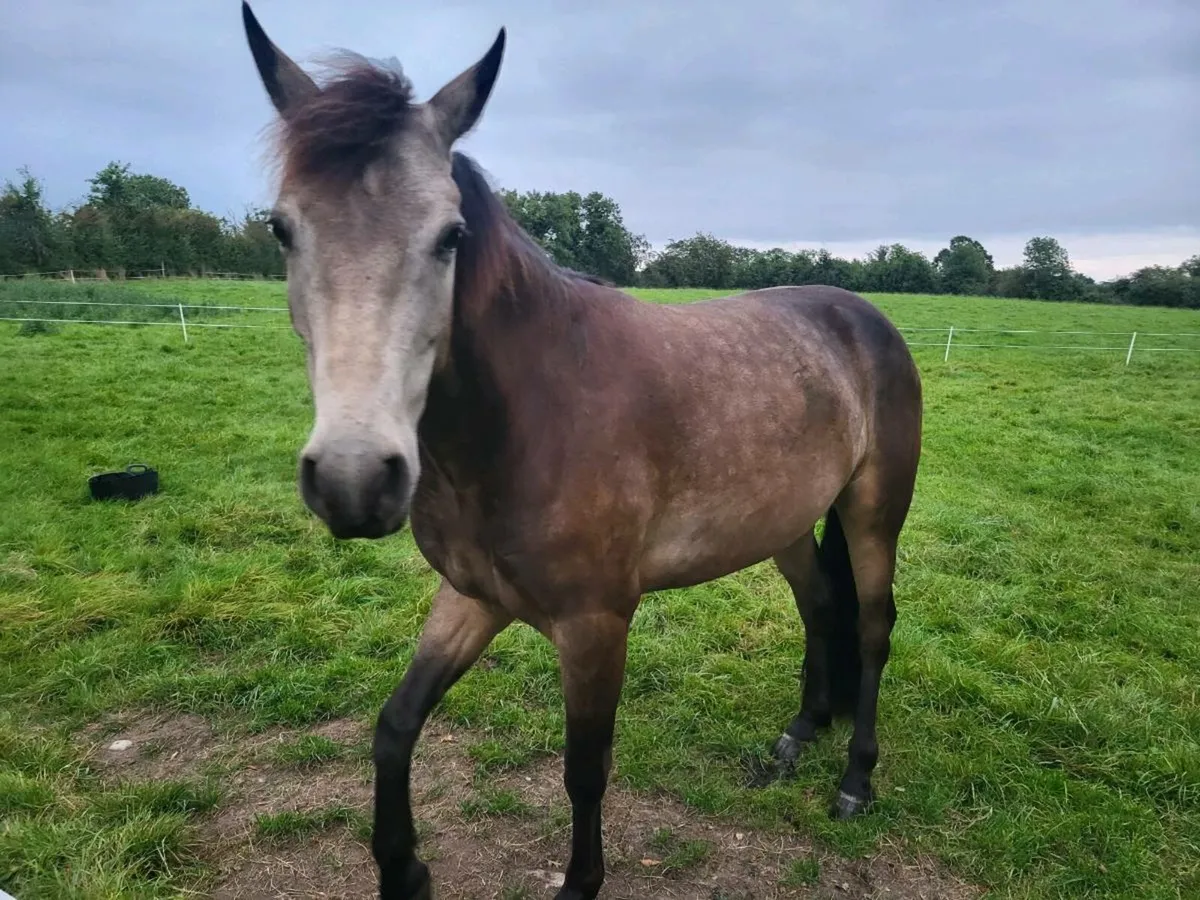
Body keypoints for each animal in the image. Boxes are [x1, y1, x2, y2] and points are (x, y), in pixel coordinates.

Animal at [241, 4, 923, 898]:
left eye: (449, 235)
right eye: (282, 228)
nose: (355, 480)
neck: (526, 421)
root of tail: (863, 316)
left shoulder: (596, 627)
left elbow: (584, 770)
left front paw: (578, 881)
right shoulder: (472, 599)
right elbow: (394, 725)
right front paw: (404, 870)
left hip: (873, 516)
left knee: (872, 628)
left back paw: (855, 778)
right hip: (782, 526)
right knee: (820, 607)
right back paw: (796, 738)